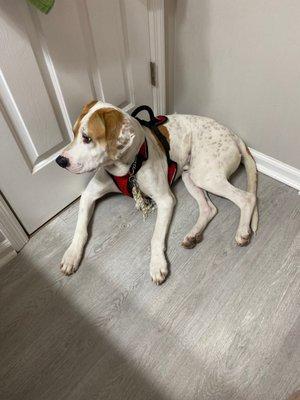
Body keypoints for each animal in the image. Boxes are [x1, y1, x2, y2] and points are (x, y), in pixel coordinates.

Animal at [56, 101, 258, 286]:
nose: (60, 161)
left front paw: (157, 265)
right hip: (191, 176)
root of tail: (233, 135)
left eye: (87, 138)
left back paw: (243, 231)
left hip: (206, 176)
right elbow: (80, 229)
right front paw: (72, 255)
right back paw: (193, 235)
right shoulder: (88, 195)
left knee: (247, 198)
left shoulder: (165, 200)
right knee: (209, 209)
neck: (127, 166)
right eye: (73, 133)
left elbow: (156, 237)